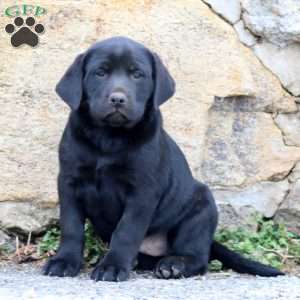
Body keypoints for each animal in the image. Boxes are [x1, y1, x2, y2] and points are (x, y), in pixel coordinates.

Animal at [42, 36, 284, 280]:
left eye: (137, 74)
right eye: (100, 73)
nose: (118, 99)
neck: (109, 137)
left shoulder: (142, 190)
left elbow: (126, 231)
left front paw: (113, 266)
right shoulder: (69, 182)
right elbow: (71, 226)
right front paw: (64, 261)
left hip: (202, 206)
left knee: (198, 257)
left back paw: (174, 265)